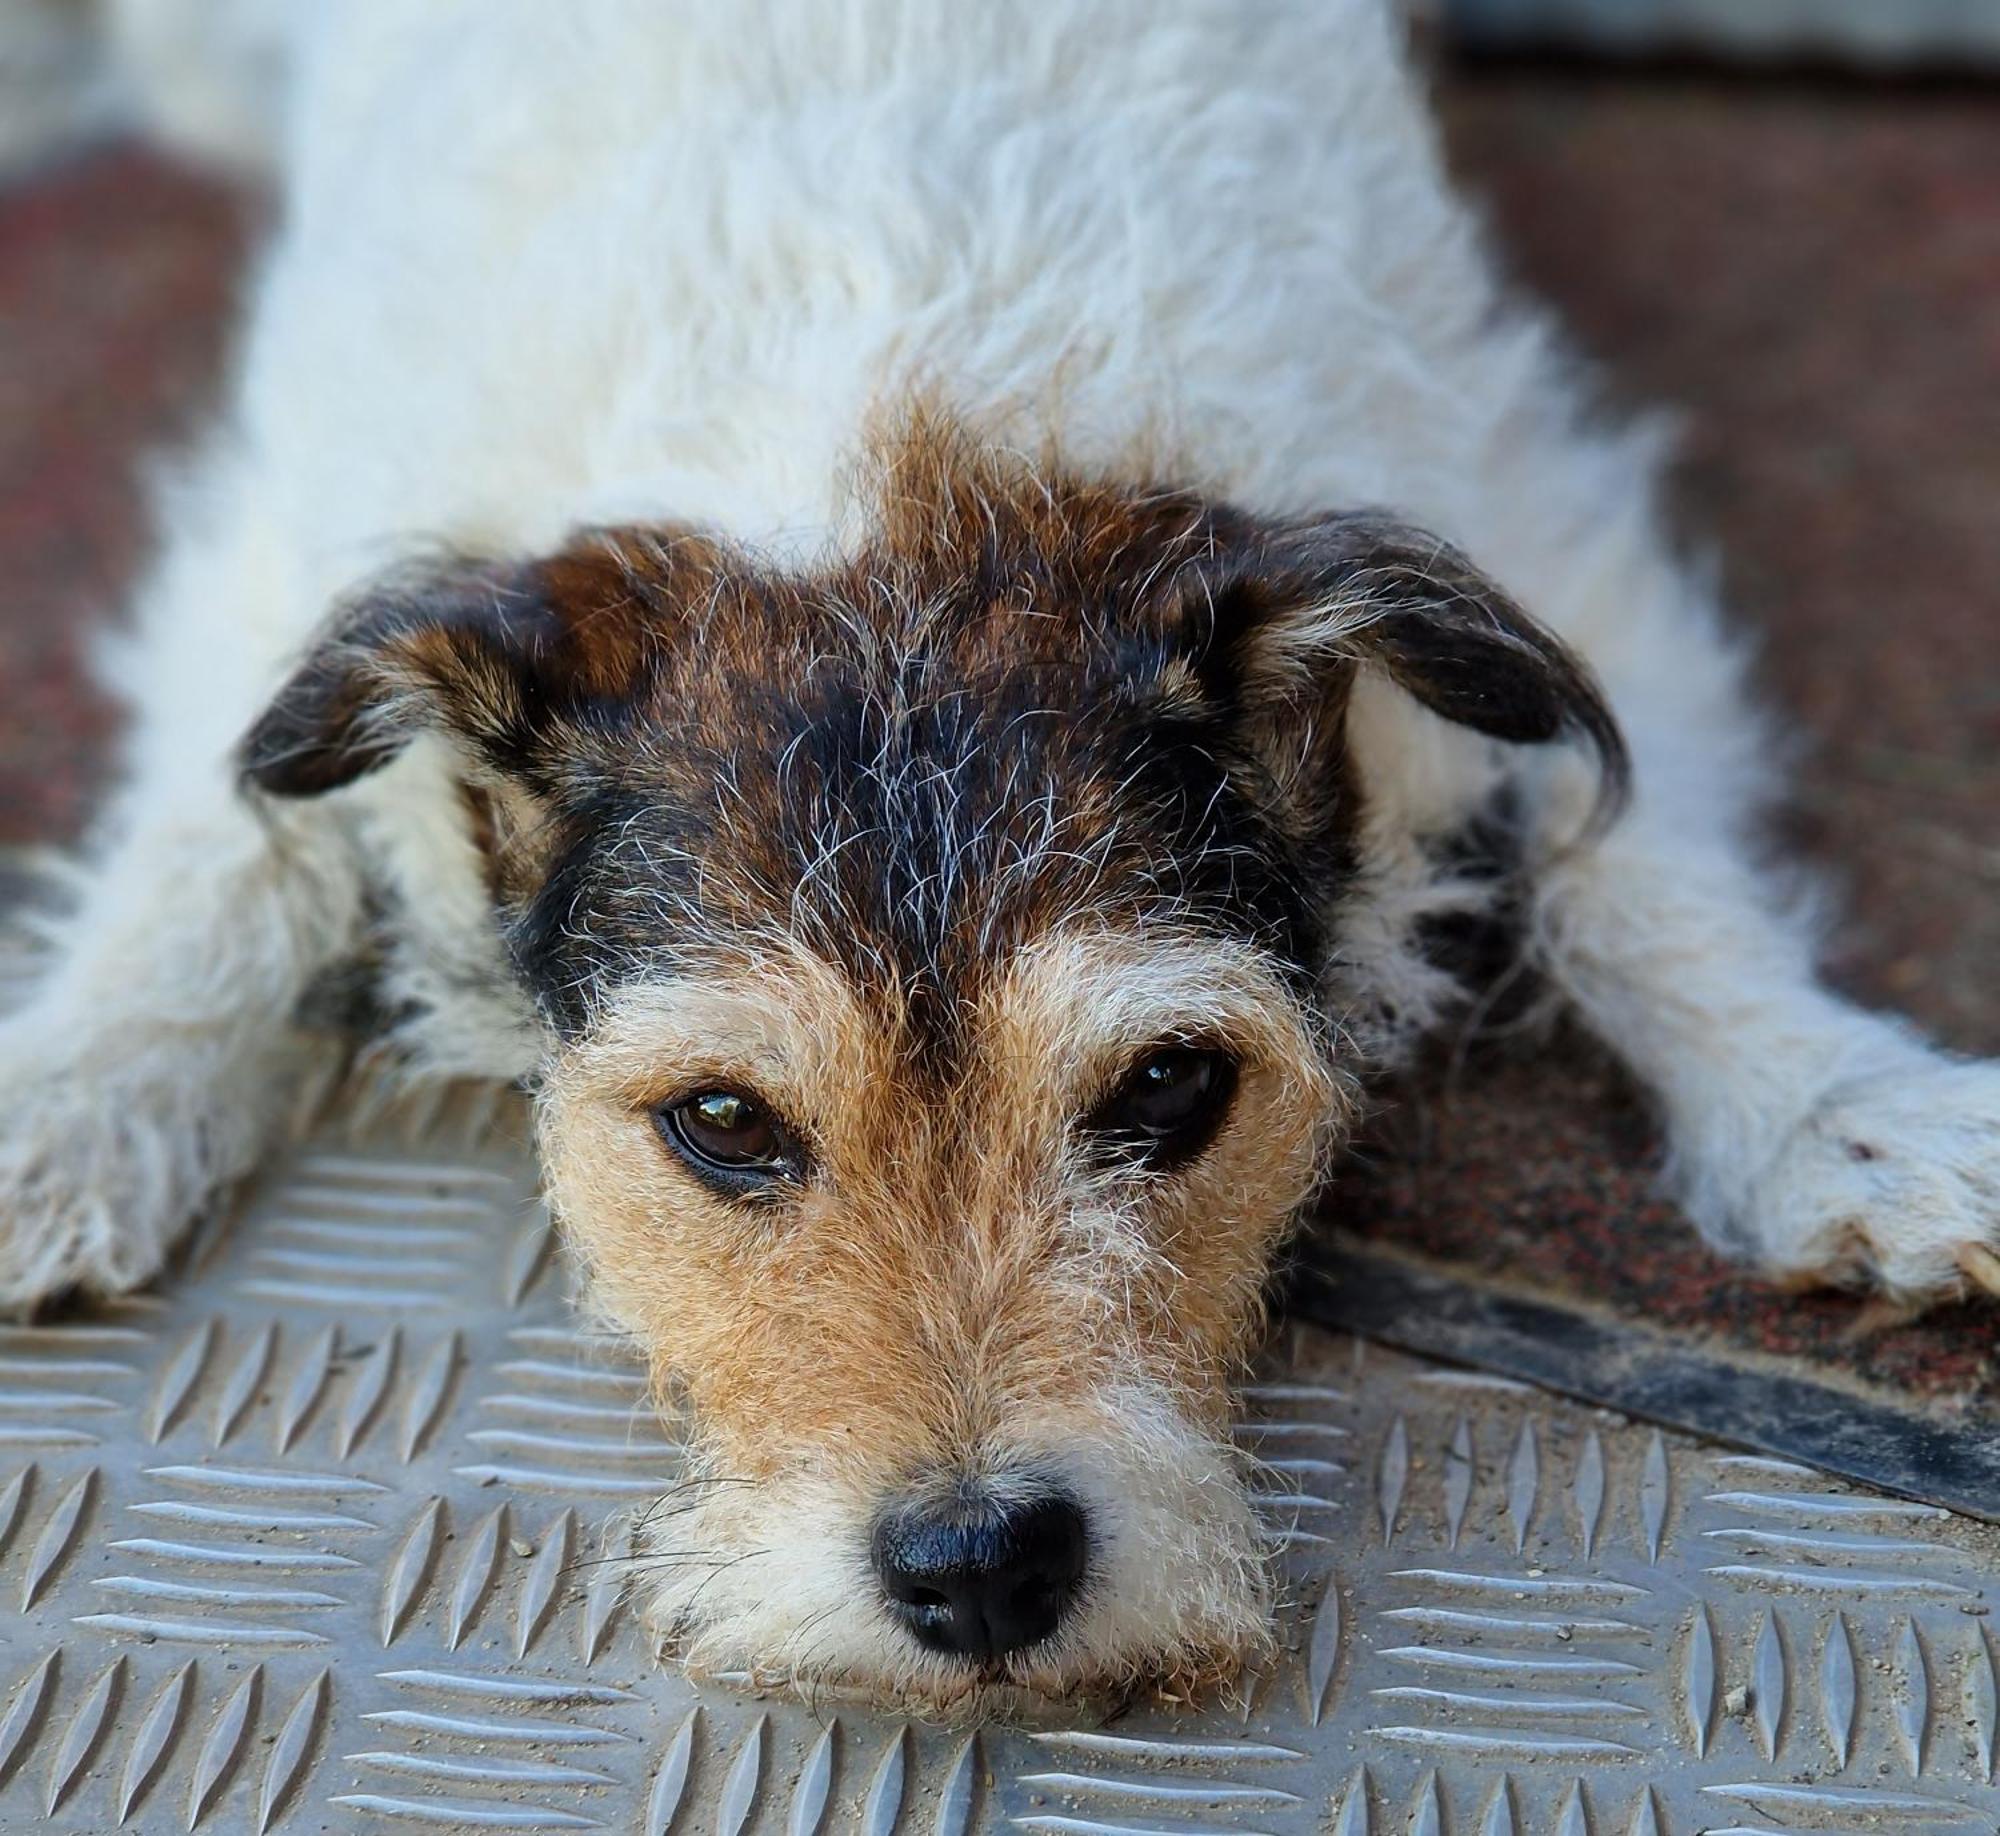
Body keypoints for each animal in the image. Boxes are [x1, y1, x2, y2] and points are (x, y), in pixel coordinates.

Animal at [11, 7, 2000, 1720]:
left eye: (1173, 1086)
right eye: (722, 1123)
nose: (980, 1569)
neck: (896, 421)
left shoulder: (1543, 513)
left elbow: (1640, 856)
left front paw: (1834, 1104)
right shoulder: (272, 550)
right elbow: (212, 846)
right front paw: (74, 1094)